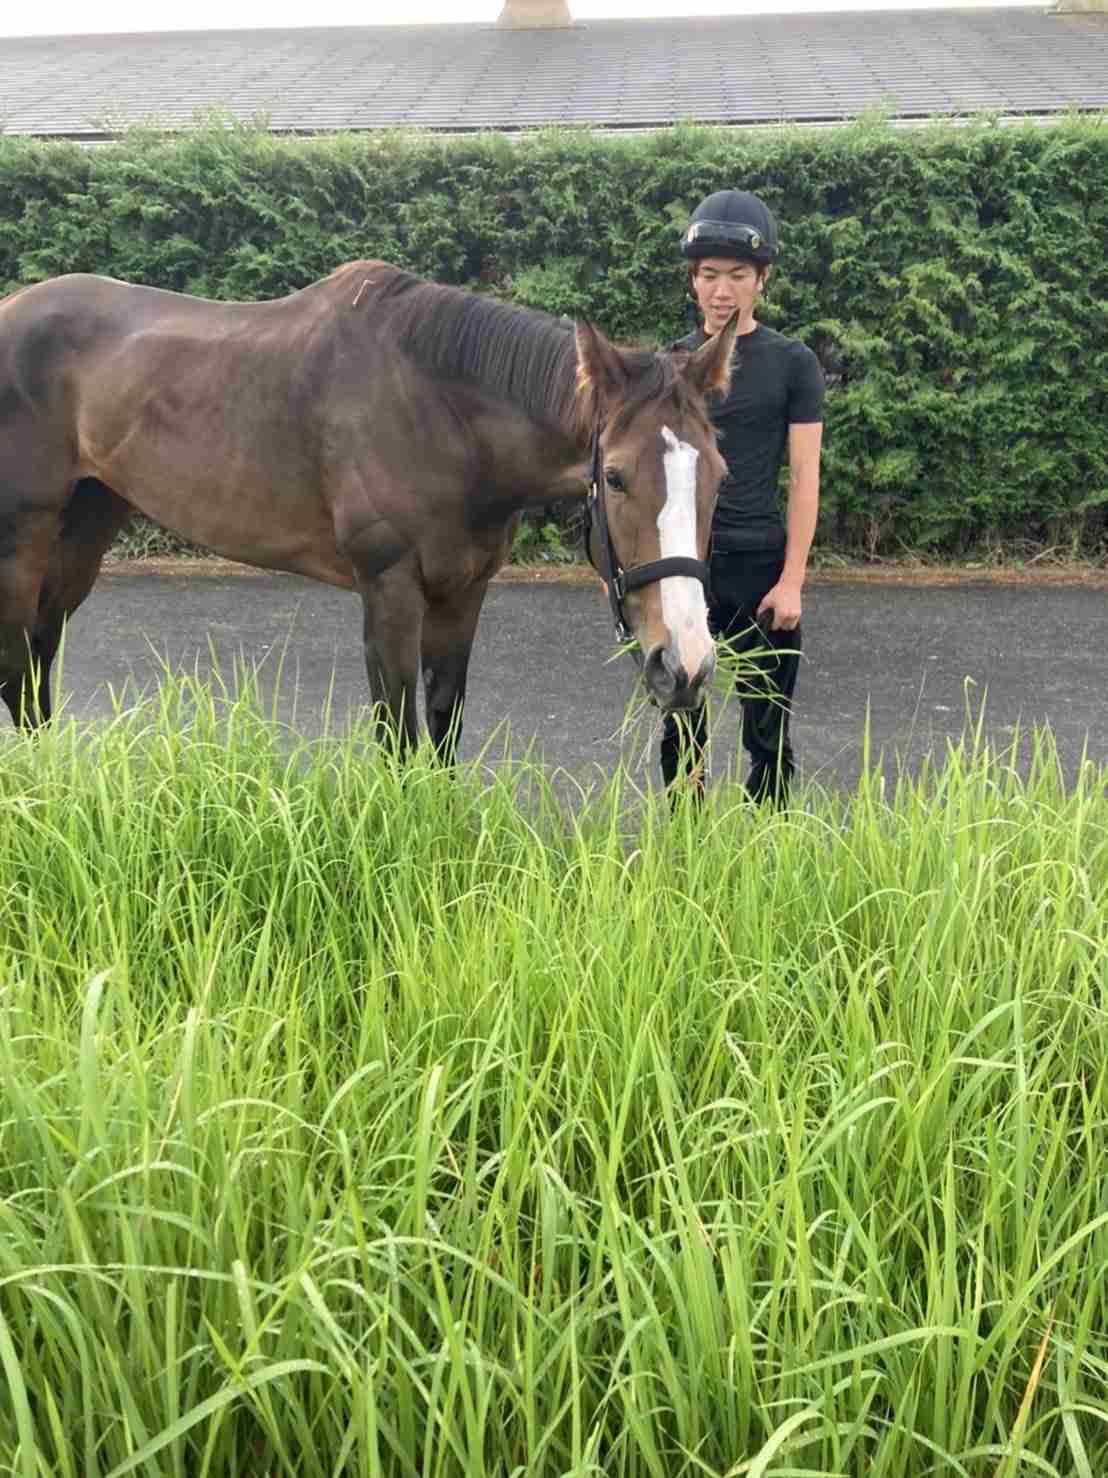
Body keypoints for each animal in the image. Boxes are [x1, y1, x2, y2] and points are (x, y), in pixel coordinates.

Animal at [0, 262, 738, 757]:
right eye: (614, 477)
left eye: (718, 476)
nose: (686, 665)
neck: (439, 409)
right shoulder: (389, 592)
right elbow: (398, 737)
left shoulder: (463, 592)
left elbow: (443, 727)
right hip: (25, 536)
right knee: (15, 663)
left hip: (87, 523)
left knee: (38, 658)